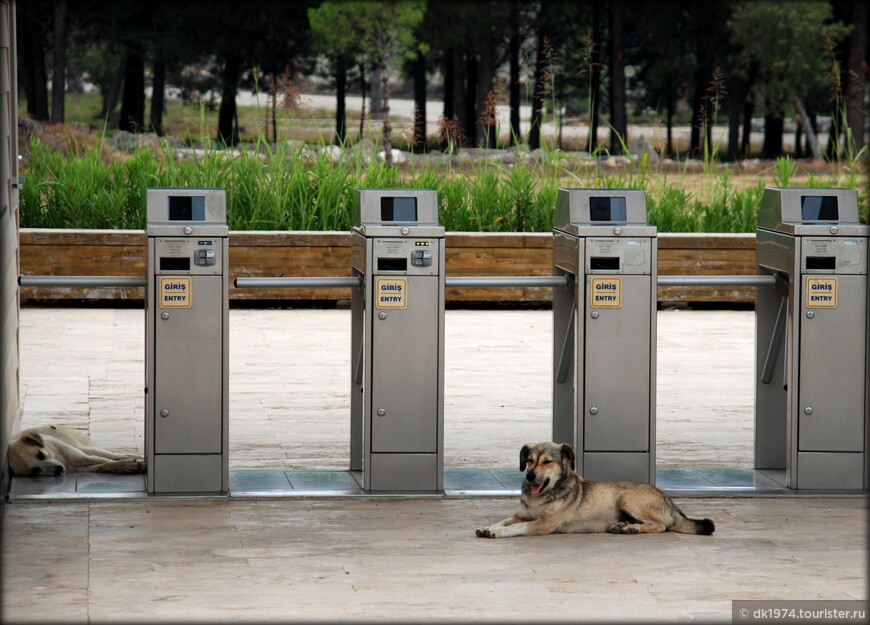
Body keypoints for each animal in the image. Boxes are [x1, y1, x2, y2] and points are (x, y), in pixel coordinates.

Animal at [7, 426, 145, 476]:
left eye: (40, 454)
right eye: (35, 470)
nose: (59, 470)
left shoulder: (82, 457)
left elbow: (106, 459)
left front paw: (133, 463)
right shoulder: (81, 468)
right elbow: (104, 465)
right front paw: (126, 466)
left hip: (79, 446)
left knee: (111, 455)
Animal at [476, 442, 716, 540]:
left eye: (547, 462)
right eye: (529, 460)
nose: (529, 476)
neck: (542, 496)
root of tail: (670, 502)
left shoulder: (543, 524)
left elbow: (517, 527)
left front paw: (497, 533)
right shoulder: (520, 515)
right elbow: (504, 521)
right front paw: (488, 527)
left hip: (627, 496)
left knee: (661, 525)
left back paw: (633, 528)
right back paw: (622, 526)